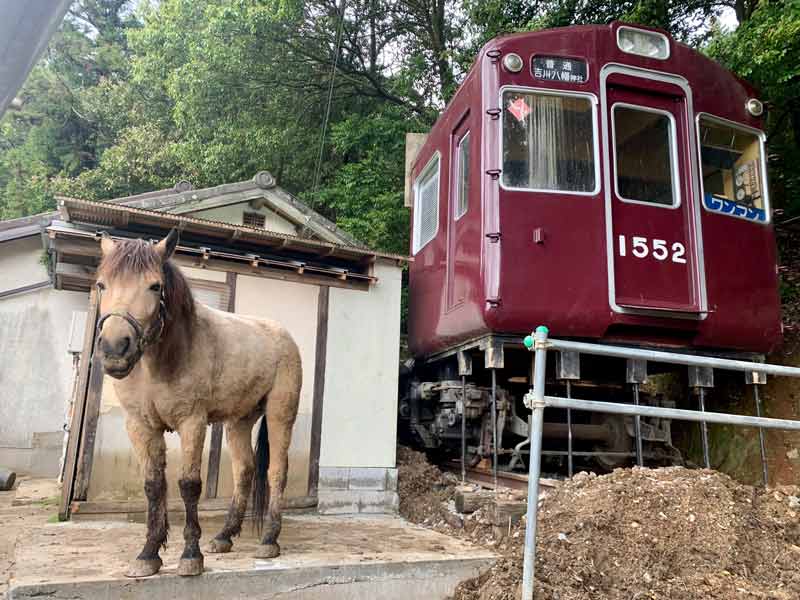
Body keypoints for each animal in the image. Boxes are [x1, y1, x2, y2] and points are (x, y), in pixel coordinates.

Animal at [93, 229, 304, 576]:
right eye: (101, 284)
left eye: (155, 286)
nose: (114, 348)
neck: (164, 358)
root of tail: (283, 334)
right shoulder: (140, 426)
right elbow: (153, 486)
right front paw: (148, 554)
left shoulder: (191, 422)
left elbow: (189, 484)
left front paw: (191, 555)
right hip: (239, 421)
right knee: (245, 470)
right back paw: (225, 536)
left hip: (279, 414)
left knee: (276, 471)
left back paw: (269, 539)